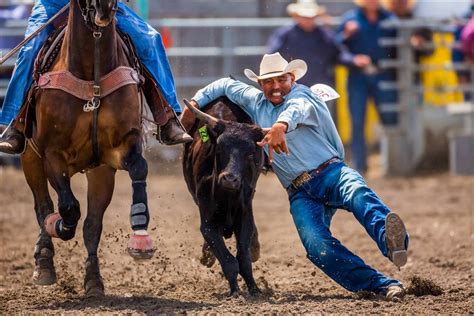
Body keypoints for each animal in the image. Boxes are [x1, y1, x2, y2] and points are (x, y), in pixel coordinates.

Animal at [21, 0, 154, 296]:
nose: (103, 9)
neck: (91, 76)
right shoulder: (51, 154)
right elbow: (69, 207)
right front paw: (59, 225)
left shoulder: (116, 151)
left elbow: (138, 168)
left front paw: (140, 234)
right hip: (29, 158)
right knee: (42, 205)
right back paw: (44, 260)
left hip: (98, 171)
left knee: (90, 224)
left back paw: (93, 280)